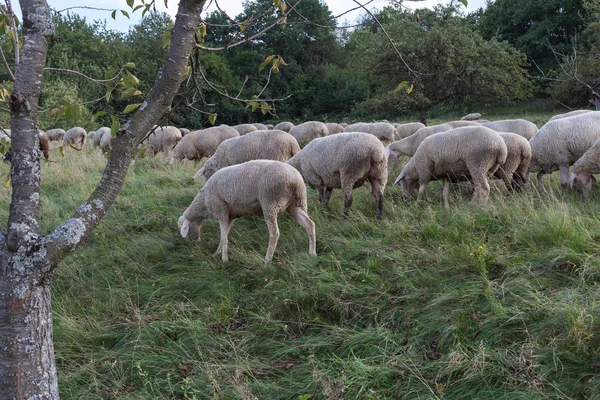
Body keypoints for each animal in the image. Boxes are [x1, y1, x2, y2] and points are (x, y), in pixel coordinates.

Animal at [179, 158, 316, 264]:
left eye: (184, 229)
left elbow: (223, 236)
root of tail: (296, 180)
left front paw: (224, 259)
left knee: (274, 233)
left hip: (270, 202)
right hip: (296, 204)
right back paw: (312, 253)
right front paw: (217, 253)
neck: (203, 202)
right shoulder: (231, 215)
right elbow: (225, 235)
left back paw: (267, 259)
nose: (193, 243)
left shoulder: (221, 210)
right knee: (309, 224)